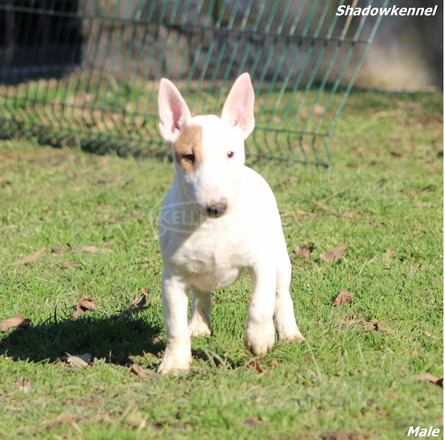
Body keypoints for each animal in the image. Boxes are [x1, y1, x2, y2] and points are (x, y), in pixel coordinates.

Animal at [155, 73, 302, 374]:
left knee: (281, 293)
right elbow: (175, 326)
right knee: (202, 293)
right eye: (188, 156)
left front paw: (260, 338)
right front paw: (175, 363)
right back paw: (199, 325)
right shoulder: (172, 278)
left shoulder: (262, 262)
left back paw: (290, 332)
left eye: (230, 154)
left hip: (280, 254)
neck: (211, 225)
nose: (217, 206)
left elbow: (261, 303)